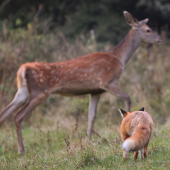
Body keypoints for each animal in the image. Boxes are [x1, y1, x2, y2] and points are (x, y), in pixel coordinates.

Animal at [0, 11, 161, 153]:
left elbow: (91, 115)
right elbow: (127, 97)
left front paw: (88, 139)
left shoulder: (95, 91)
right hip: (39, 92)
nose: (159, 39)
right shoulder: (106, 81)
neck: (119, 59)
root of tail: (23, 68)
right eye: (148, 30)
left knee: (4, 114)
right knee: (18, 116)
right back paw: (21, 150)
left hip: (22, 93)